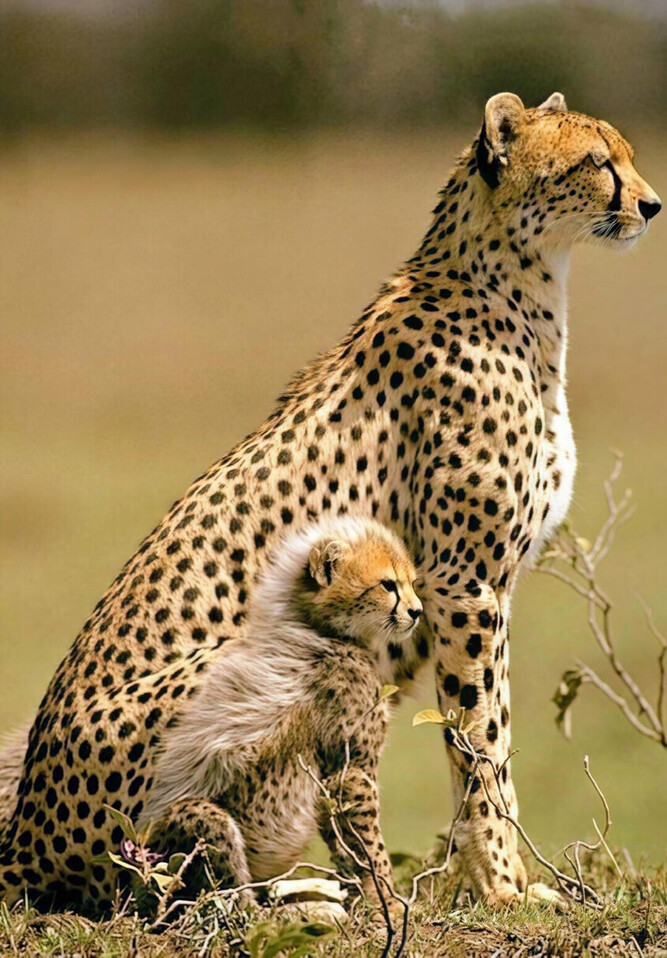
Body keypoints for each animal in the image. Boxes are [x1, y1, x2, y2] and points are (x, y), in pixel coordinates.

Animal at [139, 515, 423, 912]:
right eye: (388, 585)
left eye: (411, 583)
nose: (417, 612)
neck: (321, 629)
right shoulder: (350, 771)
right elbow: (367, 846)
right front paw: (386, 902)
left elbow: (344, 845)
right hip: (197, 821)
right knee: (231, 905)